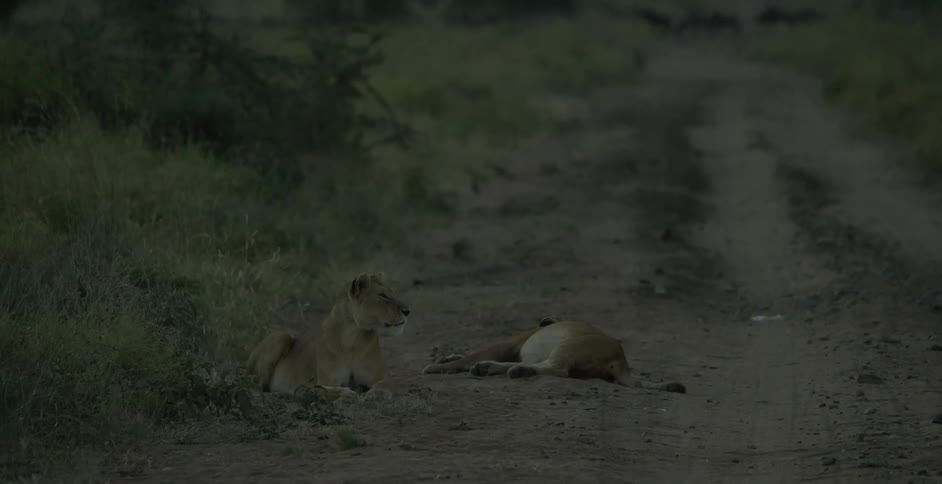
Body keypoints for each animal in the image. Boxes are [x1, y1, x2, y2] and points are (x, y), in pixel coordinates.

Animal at [246, 272, 411, 402]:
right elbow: (322, 389)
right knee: (255, 386)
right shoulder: (328, 380)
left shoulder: (383, 376)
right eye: (383, 296)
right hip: (281, 336)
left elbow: (384, 385)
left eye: (391, 293)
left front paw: (376, 394)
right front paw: (347, 394)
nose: (408, 311)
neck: (353, 336)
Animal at [422, 317, 685, 393]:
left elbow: (470, 355)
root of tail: (621, 360)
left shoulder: (509, 342)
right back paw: (487, 368)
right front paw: (445, 358)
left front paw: (436, 367)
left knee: (557, 369)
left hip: (569, 344)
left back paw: (516, 371)